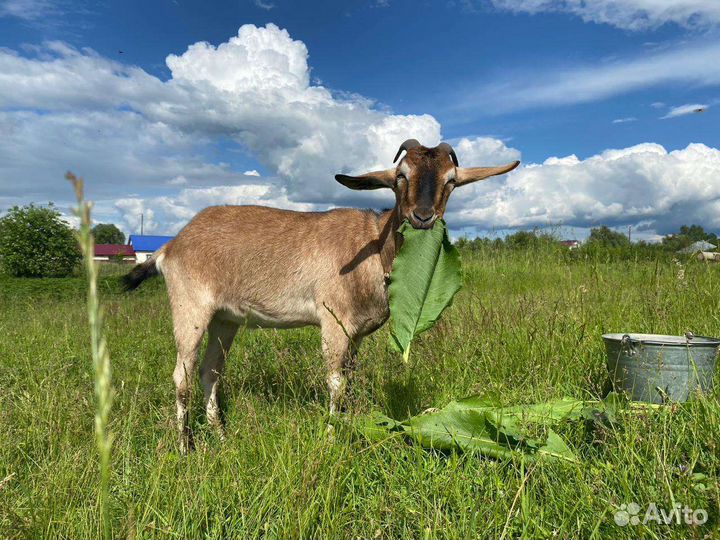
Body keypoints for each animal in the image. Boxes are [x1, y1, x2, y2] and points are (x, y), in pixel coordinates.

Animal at [124, 139, 519, 452]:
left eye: (451, 181)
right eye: (400, 176)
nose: (422, 217)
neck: (372, 248)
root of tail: (171, 246)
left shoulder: (355, 333)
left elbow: (351, 379)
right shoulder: (332, 320)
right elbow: (336, 382)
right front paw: (331, 438)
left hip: (225, 318)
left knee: (210, 372)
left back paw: (221, 437)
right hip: (190, 307)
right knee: (182, 374)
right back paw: (185, 447)